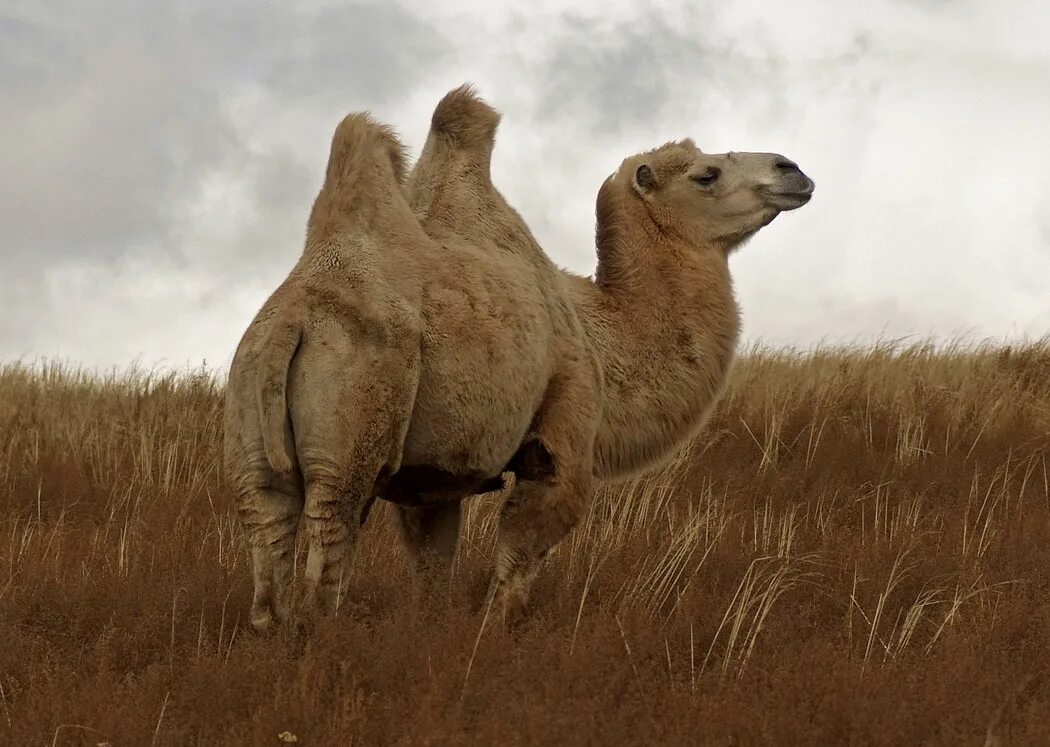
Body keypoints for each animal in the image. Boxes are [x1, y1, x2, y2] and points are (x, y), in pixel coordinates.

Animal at [219, 83, 810, 630]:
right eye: (706, 175)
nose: (793, 169)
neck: (598, 334)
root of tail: (293, 320)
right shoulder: (562, 434)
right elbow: (517, 567)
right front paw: (492, 633)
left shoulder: (432, 476)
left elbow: (433, 571)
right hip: (354, 410)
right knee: (330, 538)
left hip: (249, 410)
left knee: (267, 544)